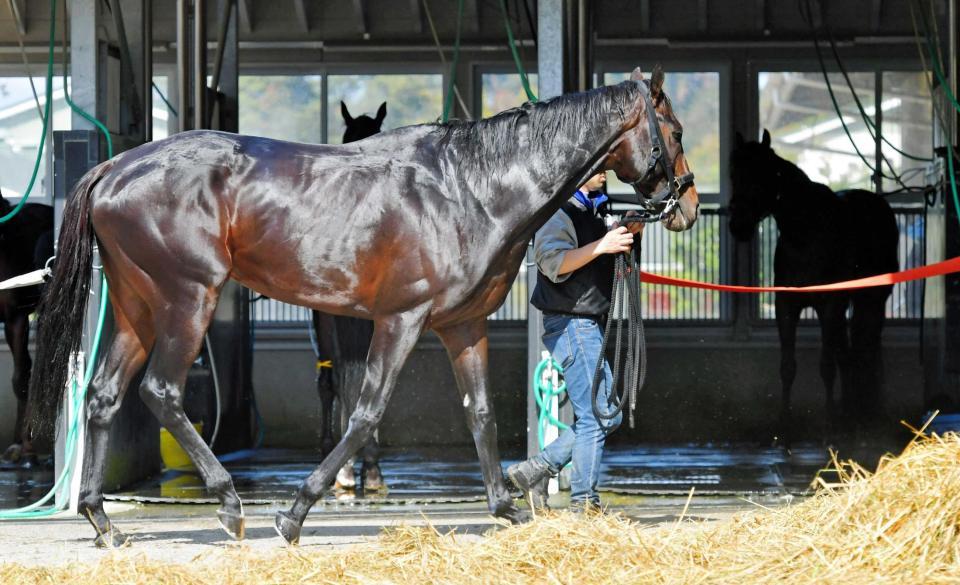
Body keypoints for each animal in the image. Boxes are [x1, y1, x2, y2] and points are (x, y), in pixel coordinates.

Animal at [30, 66, 696, 544]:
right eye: (676, 133)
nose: (685, 205)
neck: (471, 187)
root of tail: (115, 167)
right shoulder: (400, 320)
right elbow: (367, 413)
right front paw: (295, 513)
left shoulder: (464, 326)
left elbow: (480, 412)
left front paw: (507, 506)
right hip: (186, 300)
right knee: (161, 392)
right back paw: (230, 504)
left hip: (137, 307)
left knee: (104, 396)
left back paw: (102, 521)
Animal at [732, 129, 896, 434]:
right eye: (734, 174)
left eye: (762, 174)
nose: (738, 226)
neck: (806, 233)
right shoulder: (787, 306)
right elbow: (788, 367)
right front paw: (785, 421)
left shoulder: (829, 305)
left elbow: (826, 365)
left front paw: (830, 421)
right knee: (848, 355)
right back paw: (849, 410)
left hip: (872, 301)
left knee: (865, 350)